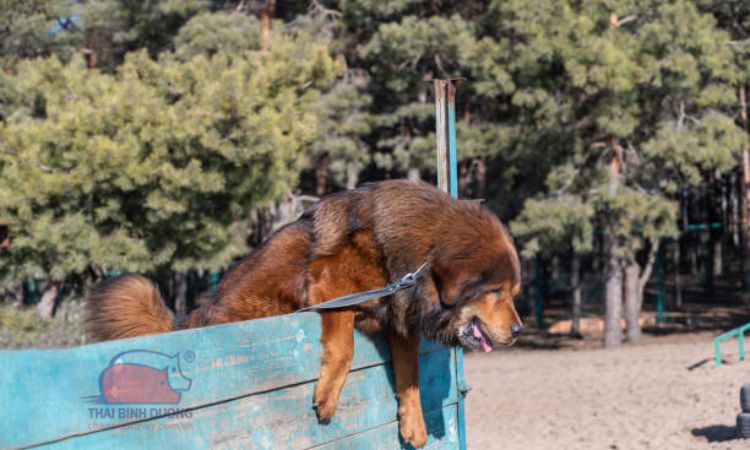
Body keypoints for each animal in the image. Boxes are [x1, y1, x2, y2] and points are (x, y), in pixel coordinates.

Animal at [86, 179, 524, 446]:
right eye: (496, 292)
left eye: (514, 292)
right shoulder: (331, 287)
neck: (414, 261)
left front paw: (413, 422)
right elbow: (344, 346)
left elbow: (410, 375)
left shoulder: (400, 317)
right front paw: (327, 395)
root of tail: (193, 317)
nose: (520, 331)